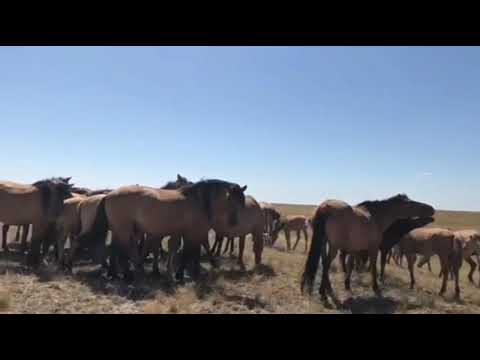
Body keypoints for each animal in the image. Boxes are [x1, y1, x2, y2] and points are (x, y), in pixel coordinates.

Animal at [302, 194, 436, 300]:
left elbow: (350, 265)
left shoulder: (354, 249)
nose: (431, 209)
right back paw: (323, 292)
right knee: (326, 264)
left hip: (324, 243)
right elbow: (373, 267)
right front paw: (376, 287)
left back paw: (326, 289)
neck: (377, 216)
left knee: (324, 262)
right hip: (334, 246)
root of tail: (325, 206)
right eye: (411, 203)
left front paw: (347, 285)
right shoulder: (374, 248)